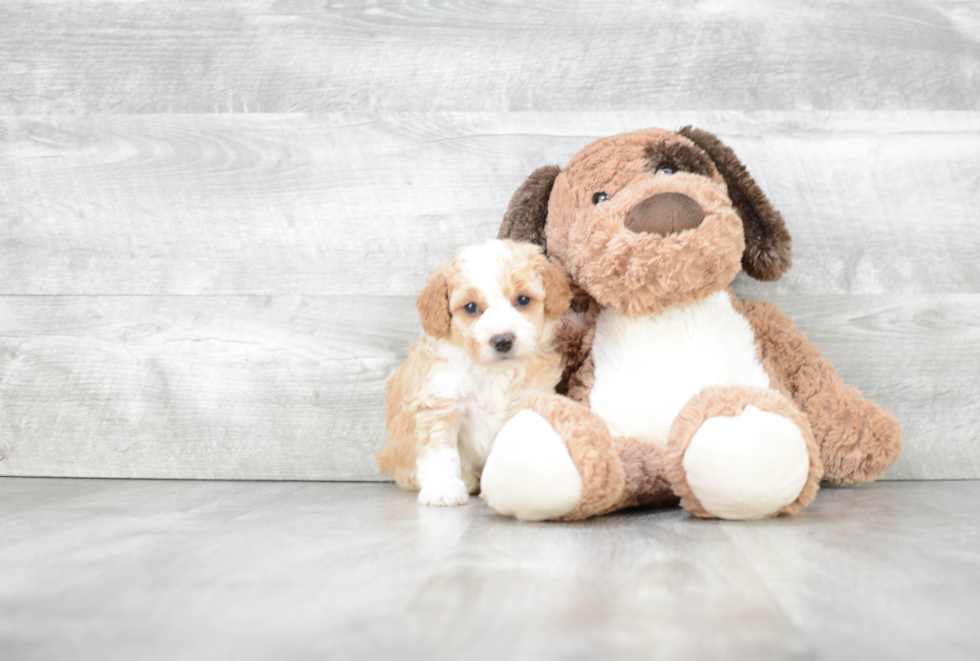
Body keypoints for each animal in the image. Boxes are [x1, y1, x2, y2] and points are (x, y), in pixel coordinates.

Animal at [378, 241, 576, 506]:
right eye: (471, 307)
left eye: (523, 300)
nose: (502, 340)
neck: (493, 372)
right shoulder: (439, 402)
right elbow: (440, 453)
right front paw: (443, 489)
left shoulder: (527, 402)